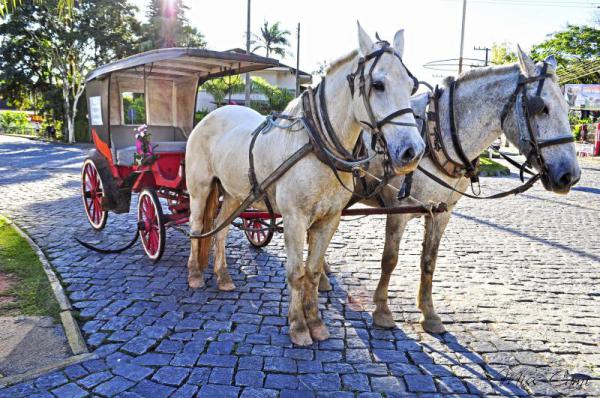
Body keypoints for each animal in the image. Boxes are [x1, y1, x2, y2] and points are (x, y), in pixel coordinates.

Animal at [188, 24, 426, 346]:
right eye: (378, 85)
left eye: (411, 87)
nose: (413, 150)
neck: (316, 145)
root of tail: (211, 115)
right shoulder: (294, 219)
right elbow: (295, 273)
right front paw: (298, 326)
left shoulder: (329, 220)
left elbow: (312, 272)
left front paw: (315, 322)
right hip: (199, 188)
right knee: (197, 227)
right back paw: (195, 275)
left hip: (236, 195)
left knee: (221, 230)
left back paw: (223, 277)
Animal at [324, 46, 580, 334]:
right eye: (541, 108)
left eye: (568, 108)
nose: (570, 175)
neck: (437, 137)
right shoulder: (399, 209)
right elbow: (390, 258)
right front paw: (382, 310)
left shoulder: (441, 212)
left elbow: (429, 261)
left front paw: (429, 314)